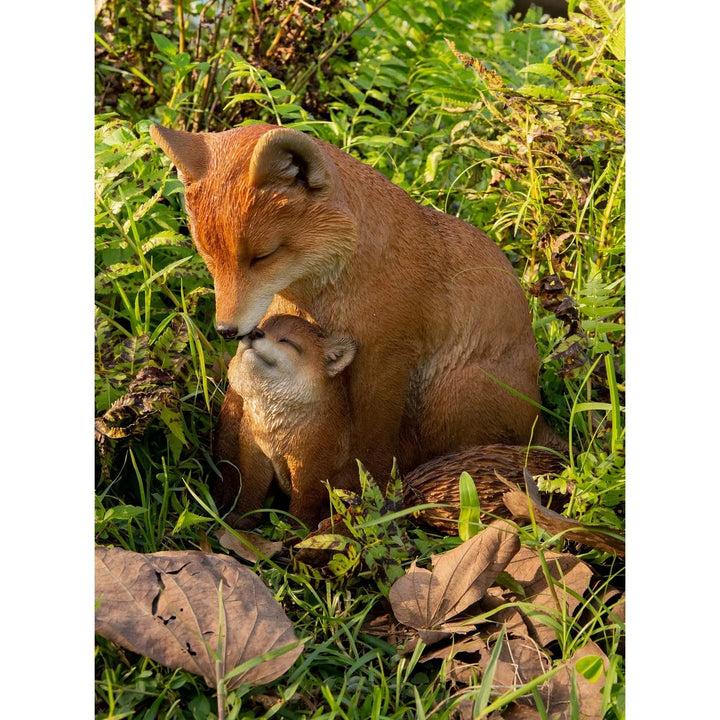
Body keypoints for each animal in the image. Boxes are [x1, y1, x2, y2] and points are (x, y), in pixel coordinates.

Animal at [226, 314, 356, 528]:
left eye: (287, 341)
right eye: (261, 327)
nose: (254, 333)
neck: (273, 437)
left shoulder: (309, 466)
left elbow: (303, 505)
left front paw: (297, 531)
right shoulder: (254, 453)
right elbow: (251, 490)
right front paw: (243, 519)